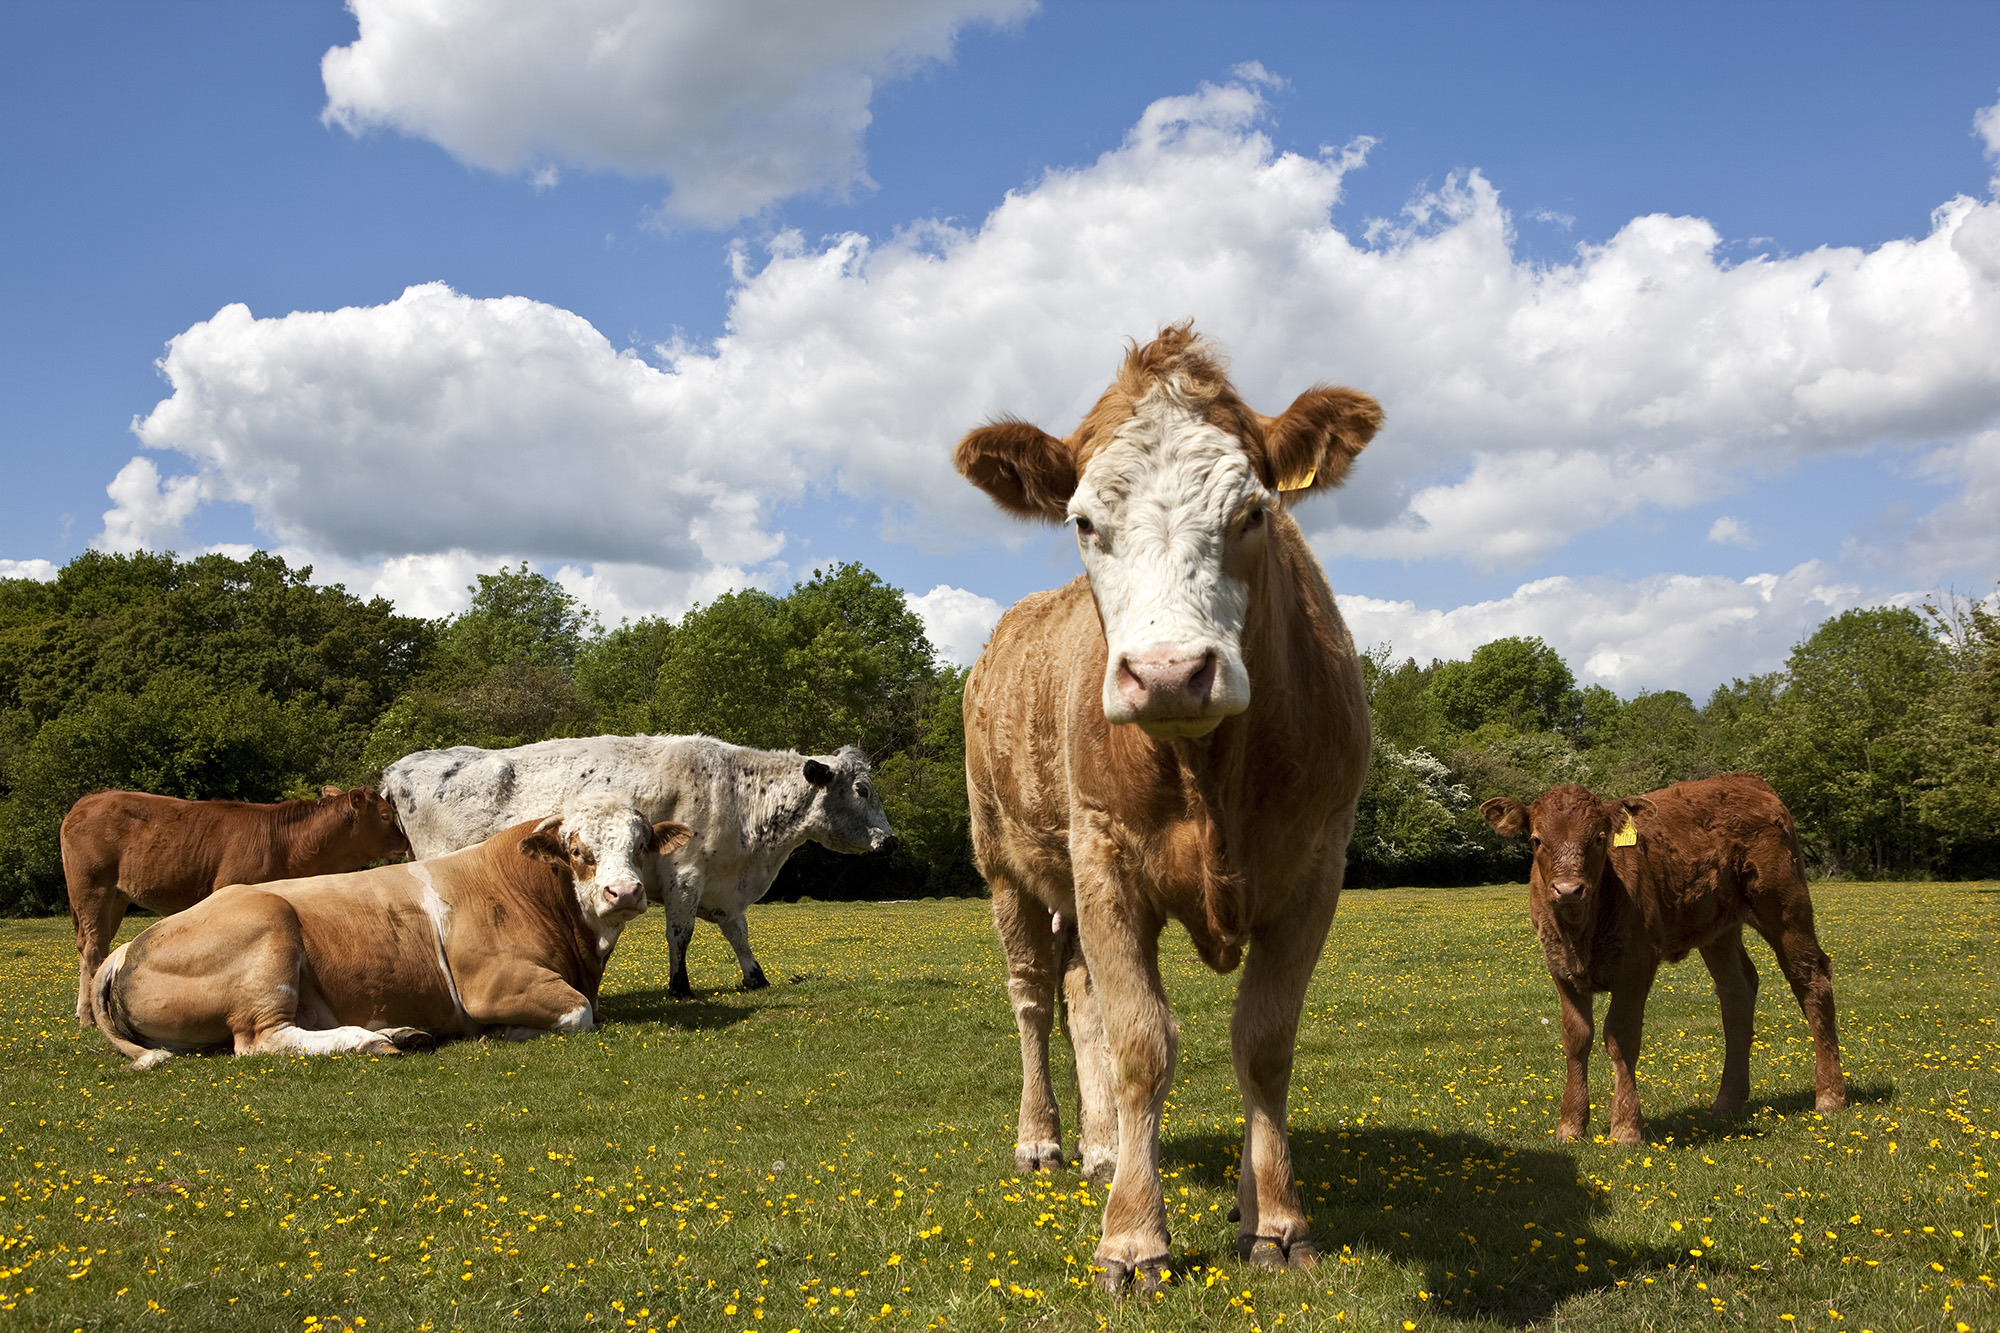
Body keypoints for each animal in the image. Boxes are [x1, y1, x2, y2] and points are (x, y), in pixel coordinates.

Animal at [63, 784, 414, 1020]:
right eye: (386, 815)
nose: (405, 842)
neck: (290, 846)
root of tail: (91, 798)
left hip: (115, 898)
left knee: (93, 946)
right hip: (92, 889)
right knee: (93, 948)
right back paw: (90, 1016)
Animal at [90, 800, 692, 1072]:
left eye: (641, 845)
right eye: (577, 851)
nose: (625, 892)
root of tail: (125, 950)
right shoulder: (493, 984)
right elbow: (579, 1013)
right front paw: (503, 1032)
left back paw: (404, 1033)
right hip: (268, 929)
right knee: (262, 1040)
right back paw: (369, 1040)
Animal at [382, 732, 900, 992]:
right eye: (861, 790)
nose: (892, 842)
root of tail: (398, 769)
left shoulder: (722, 887)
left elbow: (739, 933)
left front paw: (756, 978)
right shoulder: (685, 874)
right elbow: (680, 933)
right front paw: (679, 986)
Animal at [960, 322, 1384, 1288]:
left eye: (1254, 512)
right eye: (1083, 521)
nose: (1167, 673)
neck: (1209, 773)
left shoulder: (1316, 866)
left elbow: (1262, 1040)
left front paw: (1272, 1216)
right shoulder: (1106, 859)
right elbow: (1143, 1043)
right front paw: (1132, 1238)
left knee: (1079, 995)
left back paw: (1102, 1146)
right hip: (1005, 863)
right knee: (1034, 996)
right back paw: (1043, 1139)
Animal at [1488, 768, 1840, 1144]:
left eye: (1599, 838)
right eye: (1536, 840)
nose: (1568, 890)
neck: (1580, 934)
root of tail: (1746, 779)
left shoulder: (1636, 965)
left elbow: (1622, 1037)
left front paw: (1626, 1127)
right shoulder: (1560, 967)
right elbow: (1576, 1037)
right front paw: (1569, 1125)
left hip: (1785, 906)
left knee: (1811, 979)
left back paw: (1830, 1096)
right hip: (1717, 929)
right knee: (1737, 990)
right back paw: (1728, 1100)